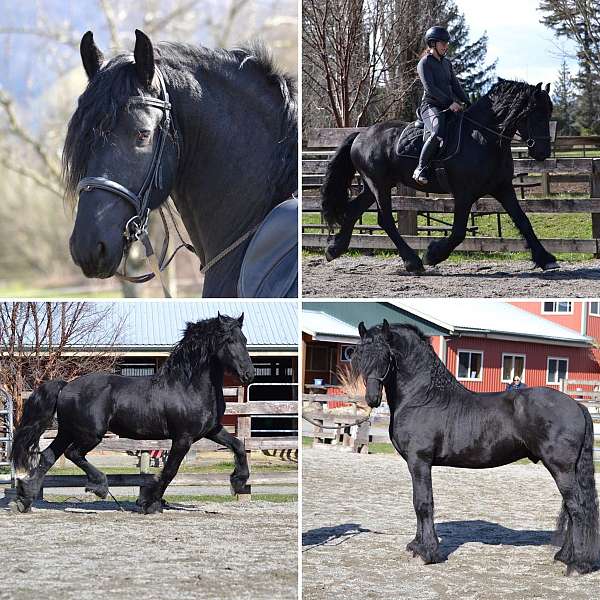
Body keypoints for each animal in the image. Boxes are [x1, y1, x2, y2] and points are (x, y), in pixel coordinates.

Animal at [9, 312, 253, 512]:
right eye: (229, 341)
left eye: (244, 340)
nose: (249, 374)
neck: (187, 386)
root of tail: (66, 386)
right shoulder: (183, 438)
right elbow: (170, 471)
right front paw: (148, 502)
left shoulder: (212, 430)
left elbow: (238, 446)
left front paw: (238, 482)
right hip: (90, 434)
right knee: (73, 454)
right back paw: (100, 487)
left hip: (68, 431)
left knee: (48, 457)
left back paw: (25, 499)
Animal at [324, 79, 556, 274]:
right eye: (534, 114)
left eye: (548, 112)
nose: (543, 152)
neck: (482, 138)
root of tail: (360, 135)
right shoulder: (464, 193)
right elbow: (459, 232)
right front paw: (433, 254)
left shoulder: (503, 188)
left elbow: (523, 220)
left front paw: (546, 258)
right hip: (379, 185)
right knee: (386, 220)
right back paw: (413, 262)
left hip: (373, 186)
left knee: (354, 211)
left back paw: (334, 249)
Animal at [354, 322, 596, 576]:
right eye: (360, 354)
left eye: (386, 355)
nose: (371, 399)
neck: (423, 397)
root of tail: (577, 405)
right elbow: (419, 503)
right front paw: (417, 546)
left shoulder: (419, 461)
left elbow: (423, 503)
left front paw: (427, 553)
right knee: (571, 509)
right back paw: (564, 556)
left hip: (561, 469)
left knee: (577, 508)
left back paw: (578, 564)